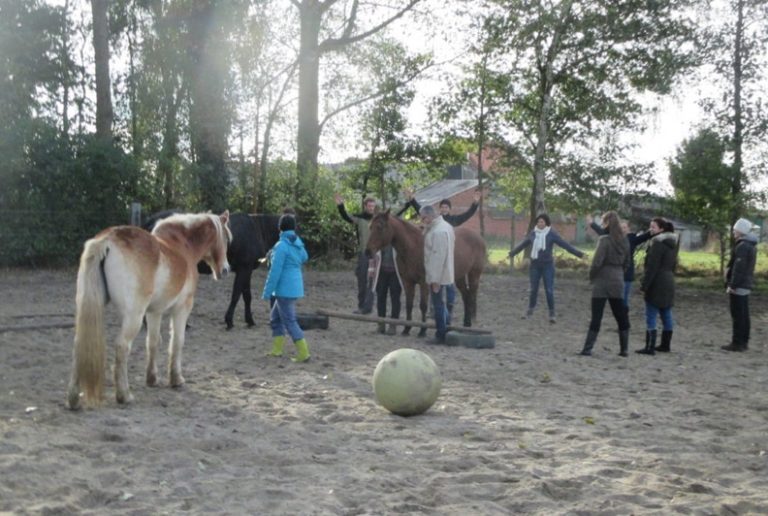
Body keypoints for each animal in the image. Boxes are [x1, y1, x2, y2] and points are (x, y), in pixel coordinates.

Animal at [66, 211, 232, 410]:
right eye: (226, 238)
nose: (226, 269)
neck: (184, 246)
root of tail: (107, 240)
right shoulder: (182, 308)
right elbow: (177, 341)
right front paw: (176, 379)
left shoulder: (154, 312)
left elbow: (153, 342)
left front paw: (152, 379)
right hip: (134, 317)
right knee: (122, 346)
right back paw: (124, 395)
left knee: (79, 345)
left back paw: (73, 399)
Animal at [144, 211, 280, 329]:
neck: (258, 230)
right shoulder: (244, 269)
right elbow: (236, 295)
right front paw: (229, 320)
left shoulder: (247, 270)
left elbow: (247, 296)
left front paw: (249, 320)